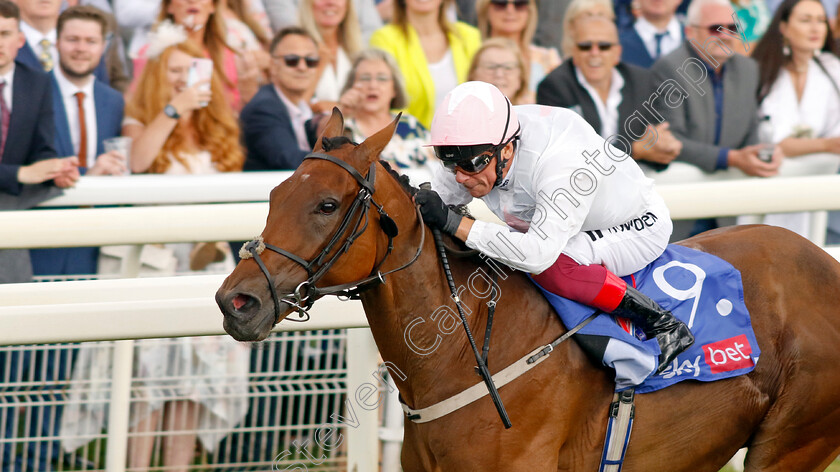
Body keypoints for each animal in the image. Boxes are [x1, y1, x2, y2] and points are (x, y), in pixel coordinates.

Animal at [217, 109, 840, 468]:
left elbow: (543, 251)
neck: (458, 354)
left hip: (791, 443)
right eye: (274, 195)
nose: (235, 301)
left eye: (326, 205)